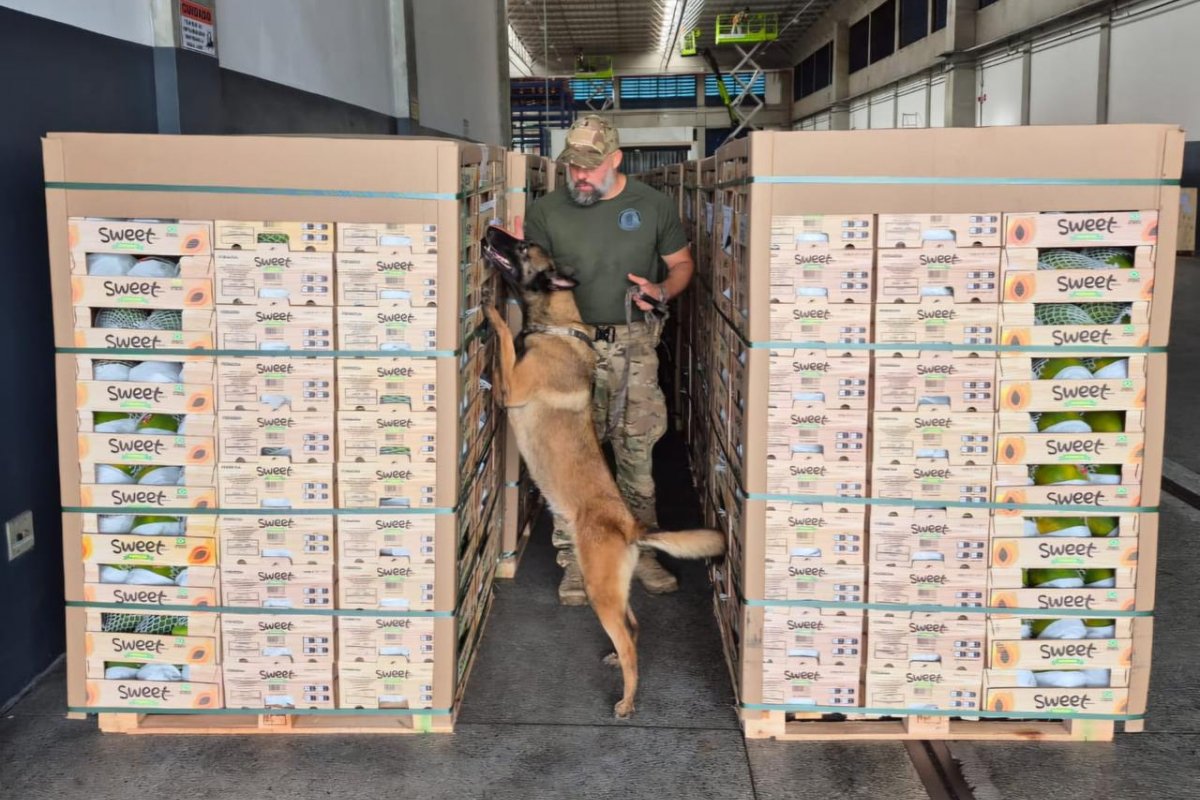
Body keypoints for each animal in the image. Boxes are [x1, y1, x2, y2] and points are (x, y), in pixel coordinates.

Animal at [482, 225, 724, 719]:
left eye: (523, 247)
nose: (492, 230)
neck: (557, 323)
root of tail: (630, 527)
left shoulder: (510, 387)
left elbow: (505, 339)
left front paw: (493, 310)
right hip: (613, 590)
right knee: (632, 626)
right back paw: (615, 656)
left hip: (601, 590)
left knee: (631, 642)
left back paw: (627, 699)